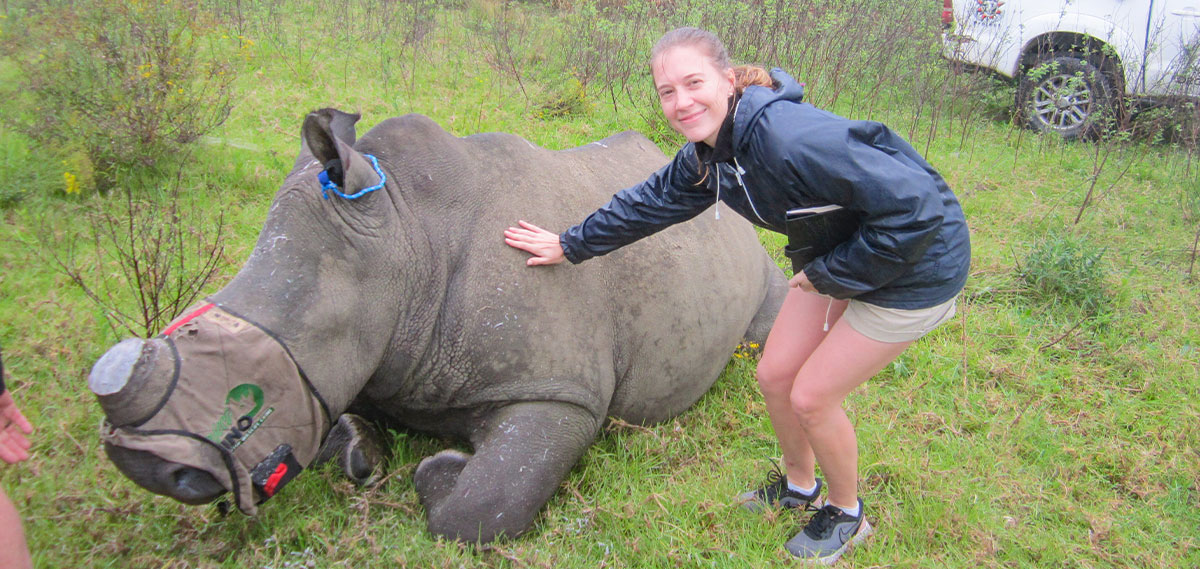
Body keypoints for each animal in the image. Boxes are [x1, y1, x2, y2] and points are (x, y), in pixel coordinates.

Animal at [88, 108, 792, 542]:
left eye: (245, 408)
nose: (146, 466)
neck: (407, 236)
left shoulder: (558, 391)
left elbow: (480, 508)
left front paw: (441, 467)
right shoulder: (367, 356)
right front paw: (361, 452)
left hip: (755, 249)